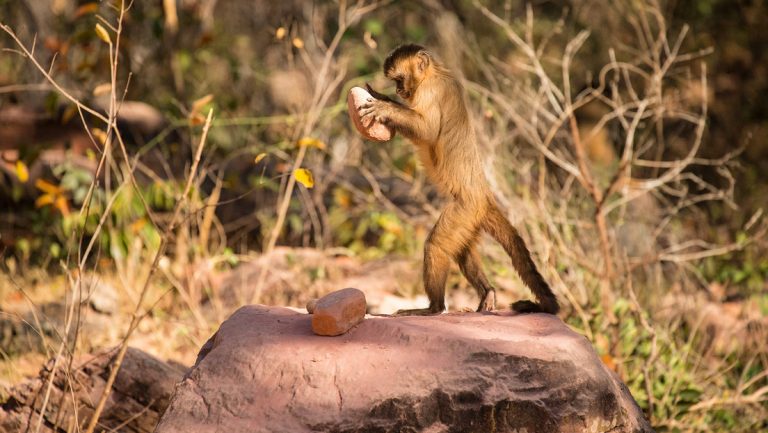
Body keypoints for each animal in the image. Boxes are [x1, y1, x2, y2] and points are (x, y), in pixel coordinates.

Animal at [359, 44, 559, 316]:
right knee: (462, 250)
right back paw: (488, 293)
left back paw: (433, 308)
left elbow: (427, 130)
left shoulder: (430, 90)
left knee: (436, 246)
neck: (435, 73)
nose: (398, 91)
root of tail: (484, 194)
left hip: (466, 207)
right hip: (472, 218)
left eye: (400, 80)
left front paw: (385, 108)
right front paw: (382, 97)